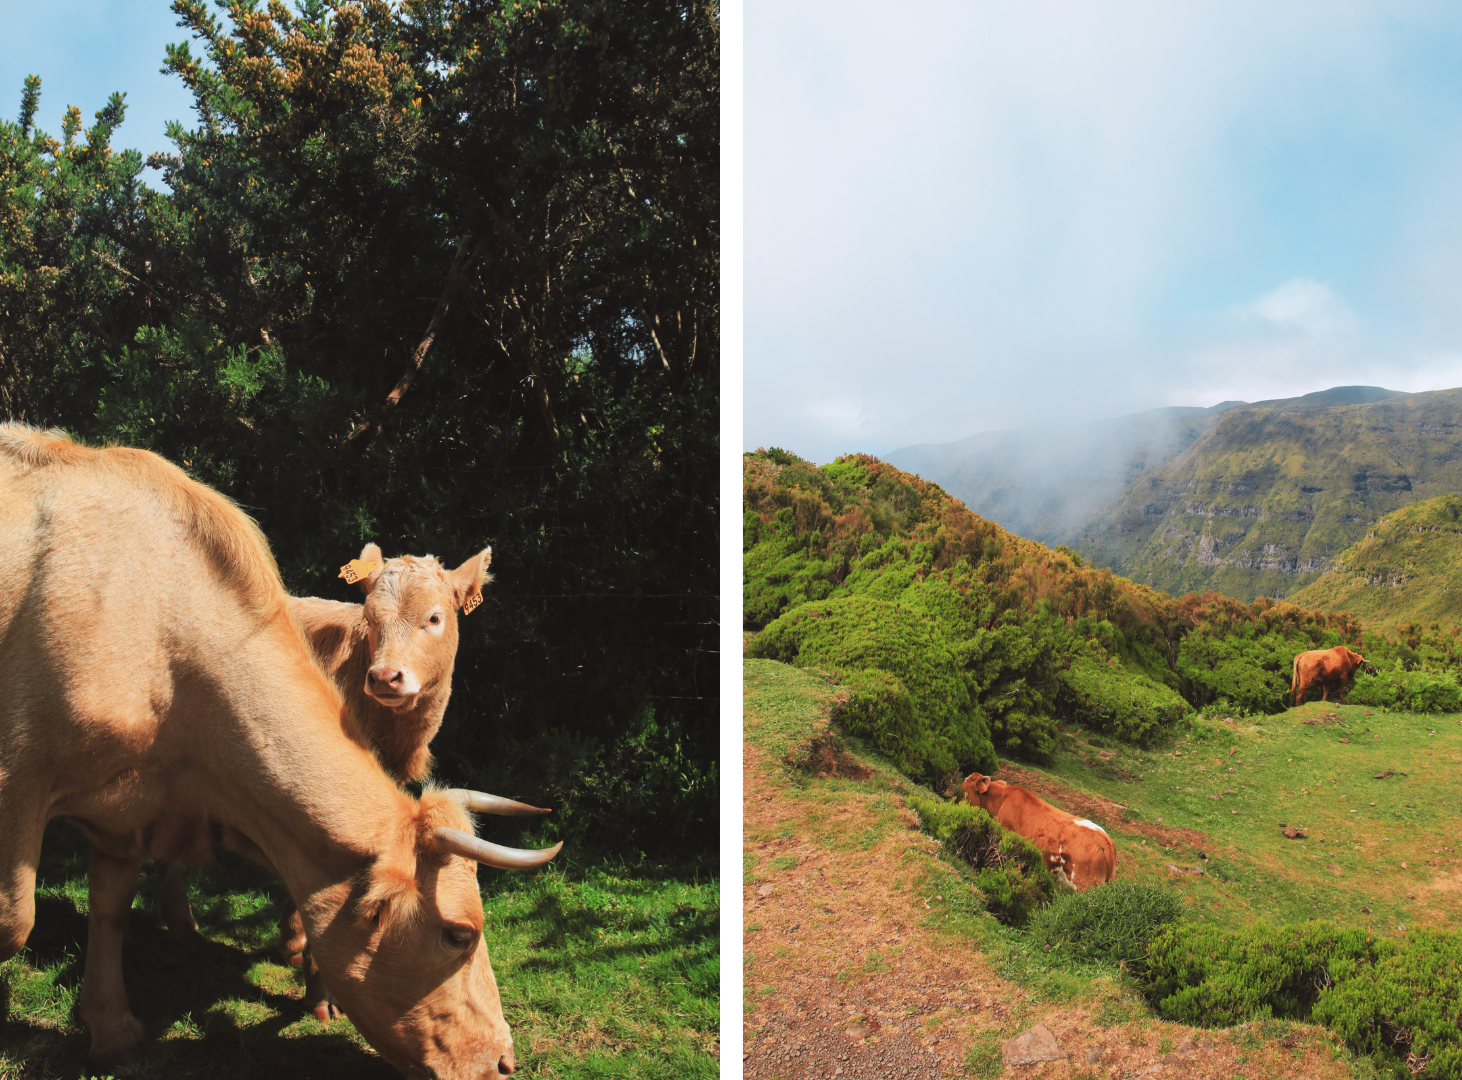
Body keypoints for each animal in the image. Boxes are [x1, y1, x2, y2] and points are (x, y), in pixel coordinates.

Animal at [0, 426, 558, 1075]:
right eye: (459, 934)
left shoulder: (127, 806)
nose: (504, 1061)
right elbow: (15, 922)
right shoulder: (19, 780)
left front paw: (112, 1030)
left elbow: (109, 912)